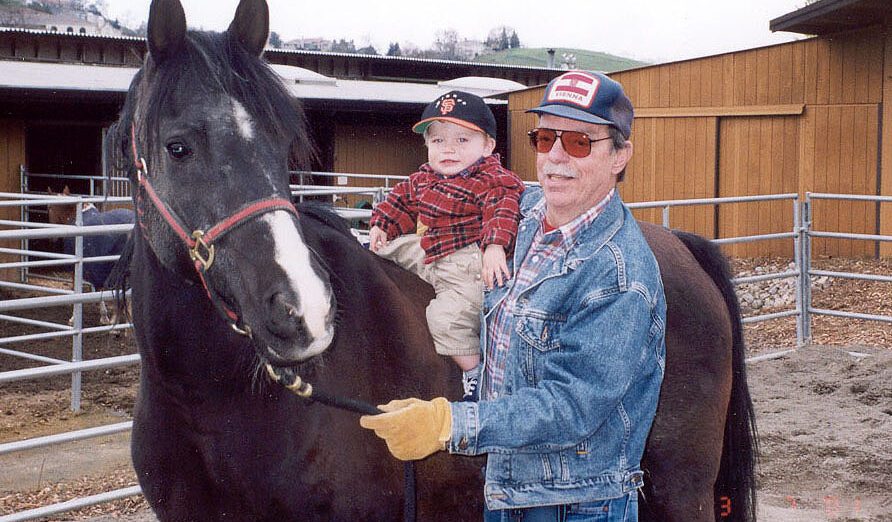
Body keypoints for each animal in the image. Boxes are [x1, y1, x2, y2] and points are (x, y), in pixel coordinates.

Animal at [110, 1, 752, 520]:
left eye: (283, 145)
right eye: (177, 147)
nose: (304, 312)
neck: (215, 403)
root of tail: (680, 246)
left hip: (680, 491)